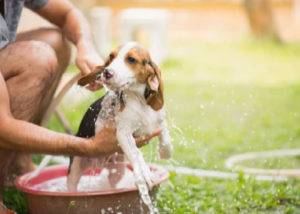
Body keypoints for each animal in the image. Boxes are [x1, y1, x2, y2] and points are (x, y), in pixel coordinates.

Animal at [67, 41, 172, 191]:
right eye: (111, 57)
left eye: (131, 59)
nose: (106, 72)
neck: (138, 100)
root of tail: (100, 163)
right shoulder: (124, 132)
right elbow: (136, 153)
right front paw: (144, 174)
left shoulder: (159, 119)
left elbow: (165, 135)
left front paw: (165, 151)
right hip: (75, 165)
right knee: (72, 184)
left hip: (117, 171)